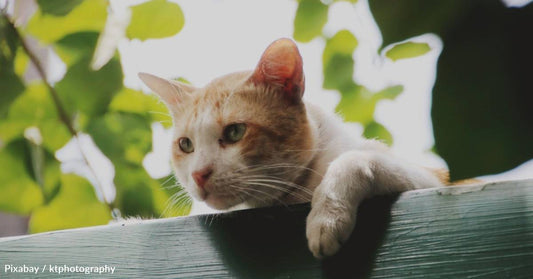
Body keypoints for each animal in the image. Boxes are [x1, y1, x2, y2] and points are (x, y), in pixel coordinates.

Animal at [138, 38, 444, 260]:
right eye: (186, 144)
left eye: (235, 132)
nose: (199, 175)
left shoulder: (433, 180)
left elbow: (352, 160)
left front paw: (326, 218)